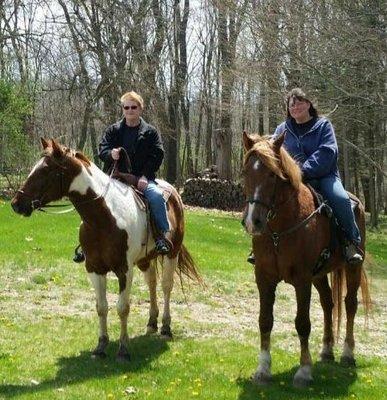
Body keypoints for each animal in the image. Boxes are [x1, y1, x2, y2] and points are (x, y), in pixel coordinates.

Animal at [11, 138, 202, 360]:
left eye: (46, 171)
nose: (16, 203)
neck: (103, 218)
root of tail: (174, 193)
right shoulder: (94, 268)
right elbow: (101, 307)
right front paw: (101, 346)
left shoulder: (124, 270)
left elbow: (122, 308)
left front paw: (123, 349)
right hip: (145, 260)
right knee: (152, 284)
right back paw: (151, 323)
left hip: (172, 253)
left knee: (166, 286)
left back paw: (165, 327)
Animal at [241, 132, 372, 388]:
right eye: (246, 172)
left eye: (272, 174)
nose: (254, 222)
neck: (279, 231)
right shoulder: (264, 278)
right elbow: (265, 320)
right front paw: (263, 369)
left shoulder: (302, 280)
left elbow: (302, 323)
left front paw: (303, 372)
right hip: (319, 275)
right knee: (328, 303)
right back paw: (327, 350)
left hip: (352, 267)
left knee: (350, 304)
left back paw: (347, 354)